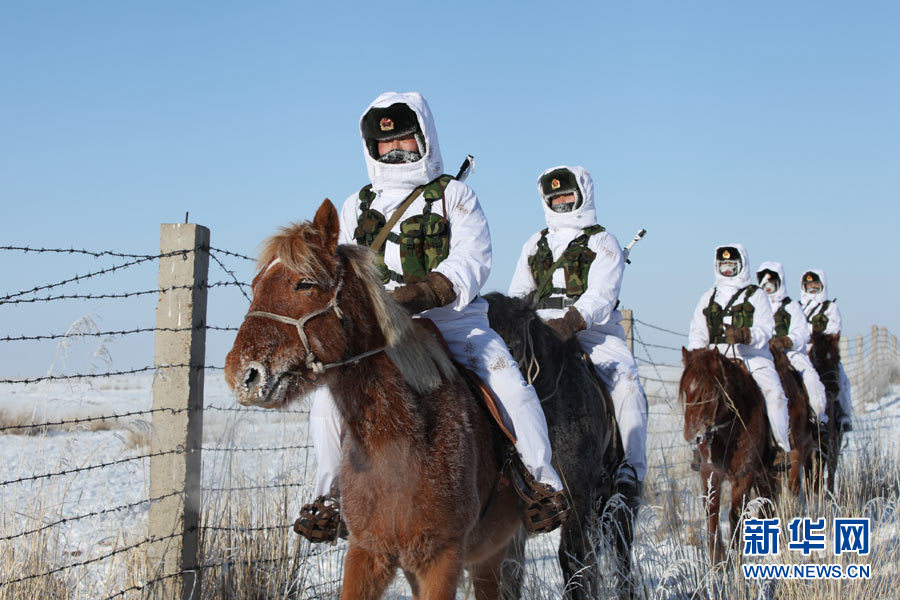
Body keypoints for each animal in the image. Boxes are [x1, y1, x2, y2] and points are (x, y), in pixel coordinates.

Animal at [225, 200, 522, 600]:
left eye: (305, 283)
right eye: (256, 286)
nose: (242, 375)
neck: (398, 440)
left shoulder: (442, 558)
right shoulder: (369, 552)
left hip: (489, 555)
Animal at [484, 293, 632, 600]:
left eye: (512, 347)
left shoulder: (576, 495)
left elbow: (572, 560)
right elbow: (509, 575)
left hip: (614, 493)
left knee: (621, 542)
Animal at [679, 347, 777, 564]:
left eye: (709, 391)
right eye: (685, 391)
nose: (692, 434)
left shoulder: (744, 475)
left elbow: (735, 513)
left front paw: (734, 554)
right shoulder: (710, 474)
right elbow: (712, 513)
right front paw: (716, 559)